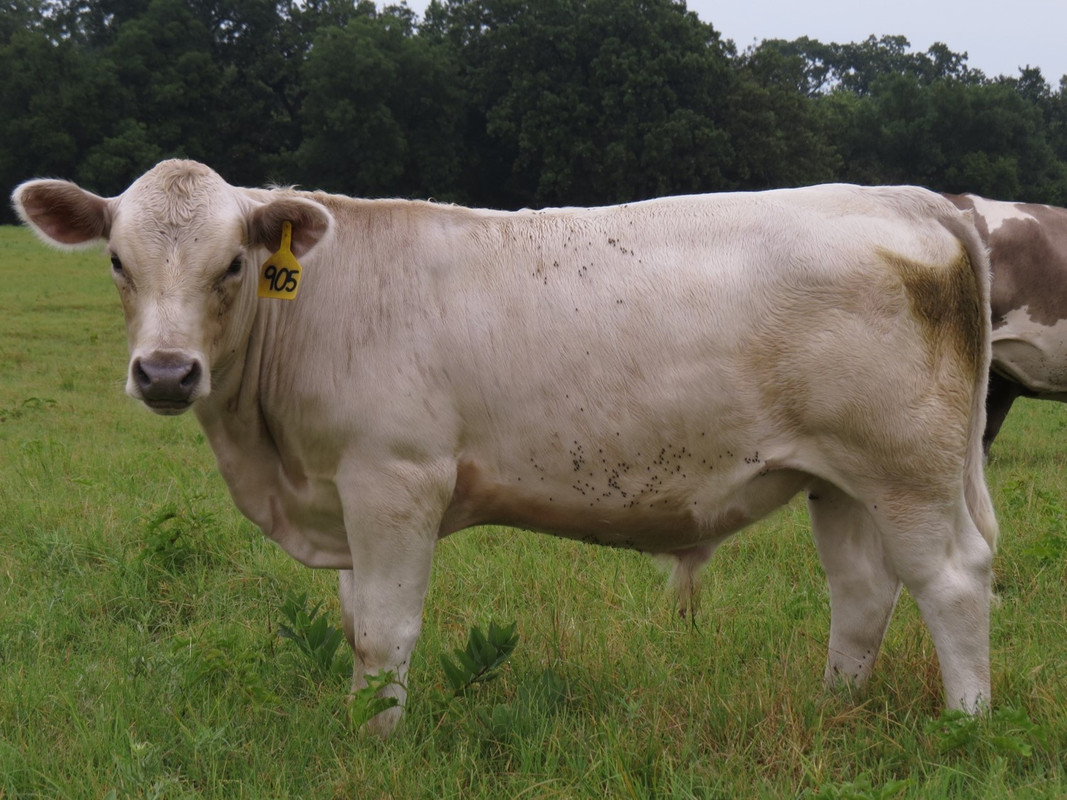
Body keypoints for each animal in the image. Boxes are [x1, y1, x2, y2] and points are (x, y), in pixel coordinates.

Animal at [13, 160, 997, 736]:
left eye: (233, 265)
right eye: (116, 262)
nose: (166, 372)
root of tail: (902, 196)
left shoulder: (395, 481)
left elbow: (387, 630)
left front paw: (380, 745)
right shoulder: (340, 491)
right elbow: (355, 626)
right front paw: (359, 727)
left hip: (908, 469)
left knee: (950, 581)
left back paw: (967, 726)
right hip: (838, 478)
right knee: (862, 593)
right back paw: (834, 709)